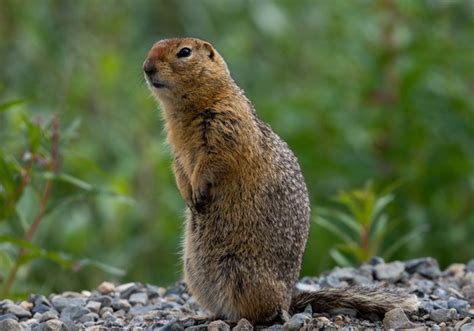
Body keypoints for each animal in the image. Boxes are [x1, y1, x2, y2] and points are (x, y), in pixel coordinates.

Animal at [142, 38, 418, 324]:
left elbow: (214, 161)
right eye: (153, 47)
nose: (146, 68)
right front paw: (187, 194)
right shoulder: (176, 147)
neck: (186, 110)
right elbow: (179, 168)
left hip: (239, 273)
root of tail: (288, 300)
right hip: (194, 272)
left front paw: (197, 191)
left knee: (261, 313)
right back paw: (205, 316)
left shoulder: (226, 126)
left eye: (184, 52)